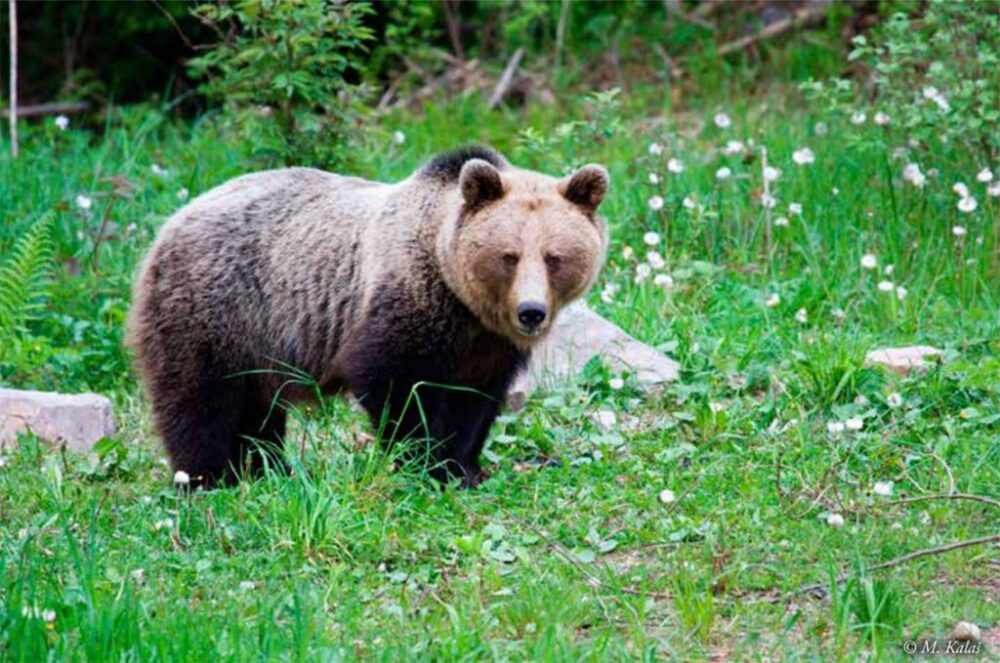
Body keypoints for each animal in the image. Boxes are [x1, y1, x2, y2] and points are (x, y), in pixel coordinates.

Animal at [125, 147, 608, 488]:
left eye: (554, 257)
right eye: (509, 256)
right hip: (216, 306)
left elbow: (476, 400)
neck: (464, 301)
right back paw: (207, 477)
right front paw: (428, 464)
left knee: (256, 406)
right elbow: (395, 380)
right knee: (200, 397)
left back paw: (269, 469)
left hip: (260, 338)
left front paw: (465, 466)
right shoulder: (407, 299)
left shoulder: (487, 344)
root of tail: (169, 223)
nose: (531, 312)